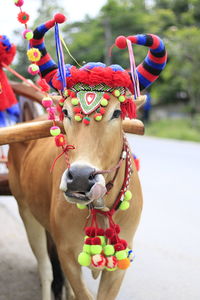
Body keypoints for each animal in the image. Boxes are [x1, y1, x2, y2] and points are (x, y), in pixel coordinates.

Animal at [7, 12, 167, 298]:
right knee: (46, 271)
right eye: (66, 112)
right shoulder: (67, 254)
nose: (81, 178)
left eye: (117, 113)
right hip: (26, 212)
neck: (101, 207)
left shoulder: (119, 263)